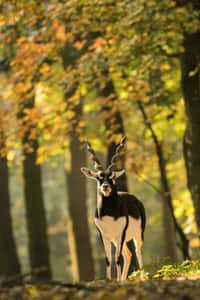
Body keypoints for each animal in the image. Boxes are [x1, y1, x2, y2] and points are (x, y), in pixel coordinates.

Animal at [81, 137, 145, 280]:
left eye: (112, 177)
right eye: (98, 177)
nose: (105, 187)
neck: (109, 215)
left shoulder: (120, 234)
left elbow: (118, 259)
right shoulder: (104, 235)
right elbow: (109, 259)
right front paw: (111, 280)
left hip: (136, 235)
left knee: (137, 251)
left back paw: (143, 277)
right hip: (118, 240)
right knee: (128, 255)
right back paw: (123, 279)